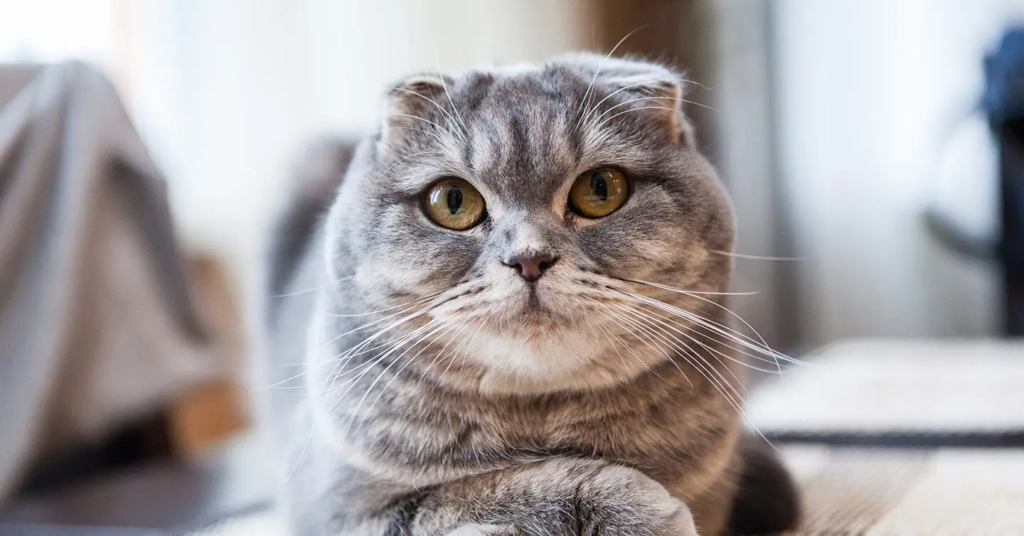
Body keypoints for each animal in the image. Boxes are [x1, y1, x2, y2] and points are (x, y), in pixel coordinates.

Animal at [266, 54, 798, 536]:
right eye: (452, 201)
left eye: (601, 189)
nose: (529, 258)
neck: (540, 427)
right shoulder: (334, 512)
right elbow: (476, 490)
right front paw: (630, 507)